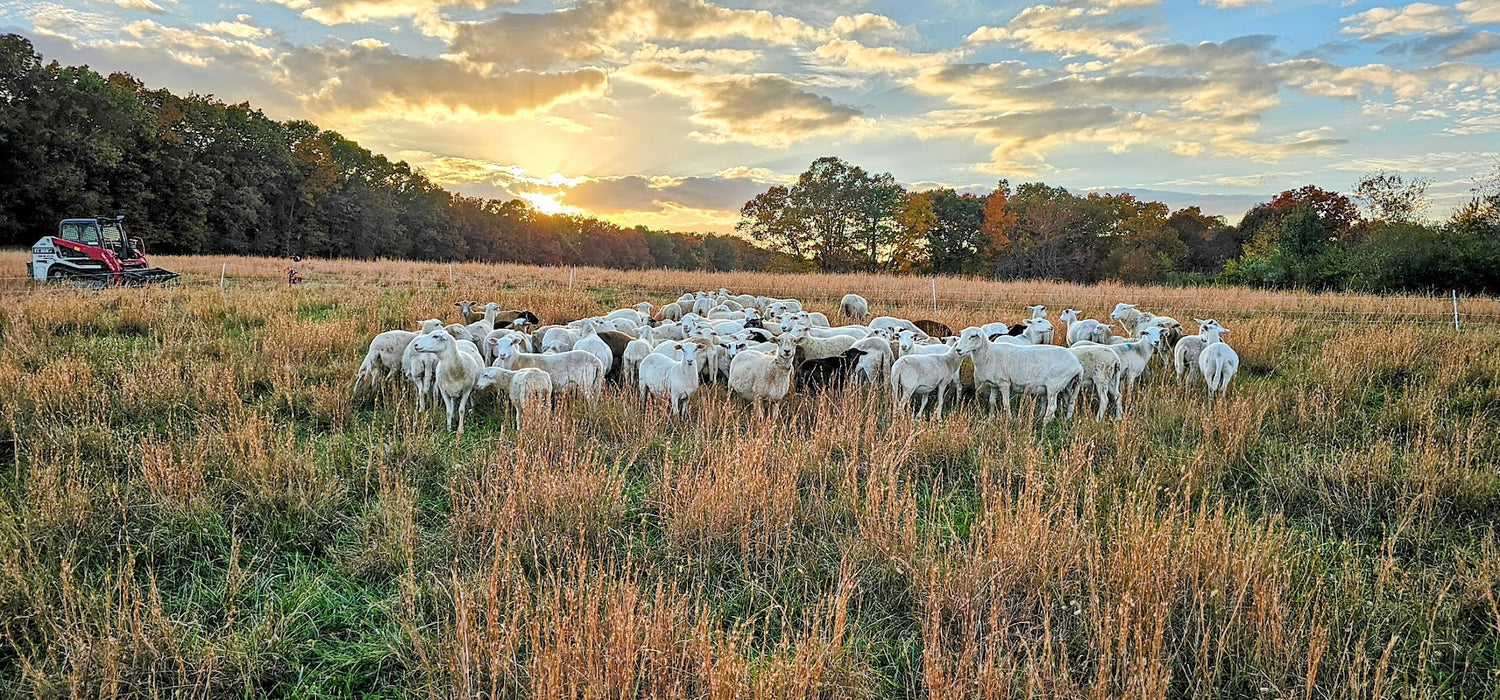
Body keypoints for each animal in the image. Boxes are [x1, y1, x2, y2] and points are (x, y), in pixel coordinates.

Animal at [954, 326, 1086, 419]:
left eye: (973, 336)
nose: (958, 350)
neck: (988, 354)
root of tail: (1078, 365)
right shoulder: (994, 385)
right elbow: (991, 401)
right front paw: (991, 418)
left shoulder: (1004, 383)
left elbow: (1006, 403)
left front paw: (1010, 419)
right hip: (1067, 386)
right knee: (1070, 403)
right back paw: (1066, 420)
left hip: (1054, 386)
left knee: (1052, 407)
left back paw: (1045, 423)